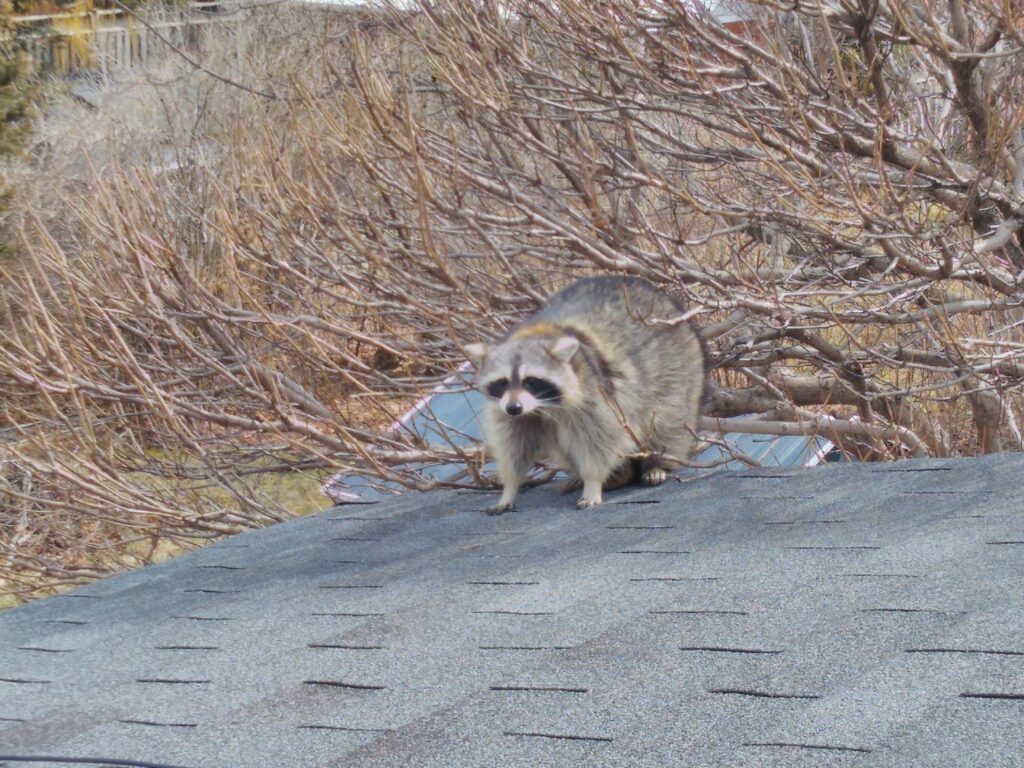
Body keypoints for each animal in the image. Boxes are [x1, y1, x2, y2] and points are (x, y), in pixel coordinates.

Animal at [468, 276, 708, 518]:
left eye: (531, 381)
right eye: (502, 382)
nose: (514, 408)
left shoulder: (595, 392)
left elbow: (600, 438)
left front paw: (592, 481)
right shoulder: (508, 410)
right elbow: (515, 445)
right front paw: (509, 487)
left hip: (679, 371)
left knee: (667, 423)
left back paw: (656, 463)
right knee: (564, 444)